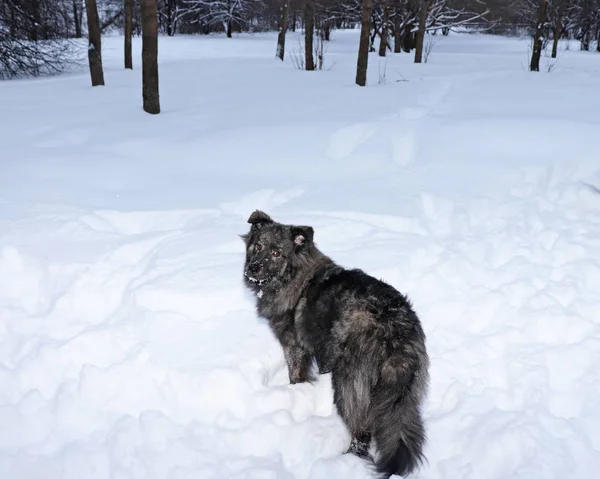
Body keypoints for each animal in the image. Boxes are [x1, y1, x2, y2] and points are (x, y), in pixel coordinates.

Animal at [241, 212, 428, 478]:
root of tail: (395, 329)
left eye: (277, 253)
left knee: (361, 430)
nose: (253, 268)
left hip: (348, 384)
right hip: (405, 391)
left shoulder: (294, 346)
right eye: (258, 246)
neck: (292, 276)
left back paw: (346, 461)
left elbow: (295, 376)